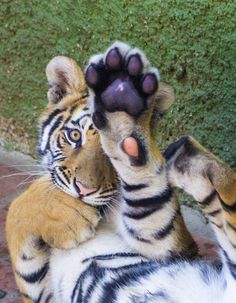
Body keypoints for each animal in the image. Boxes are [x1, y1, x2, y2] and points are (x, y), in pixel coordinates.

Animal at [6, 41, 235, 302]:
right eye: (74, 136)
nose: (83, 190)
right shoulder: (40, 292)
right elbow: (16, 212)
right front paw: (68, 216)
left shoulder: (167, 245)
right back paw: (186, 158)